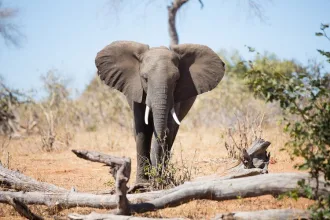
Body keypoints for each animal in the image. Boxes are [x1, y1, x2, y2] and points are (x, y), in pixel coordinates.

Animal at [94, 40, 226, 183]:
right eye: (144, 78)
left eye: (176, 80)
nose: (154, 176)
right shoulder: (138, 91)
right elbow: (142, 129)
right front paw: (142, 184)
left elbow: (168, 128)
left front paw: (157, 180)